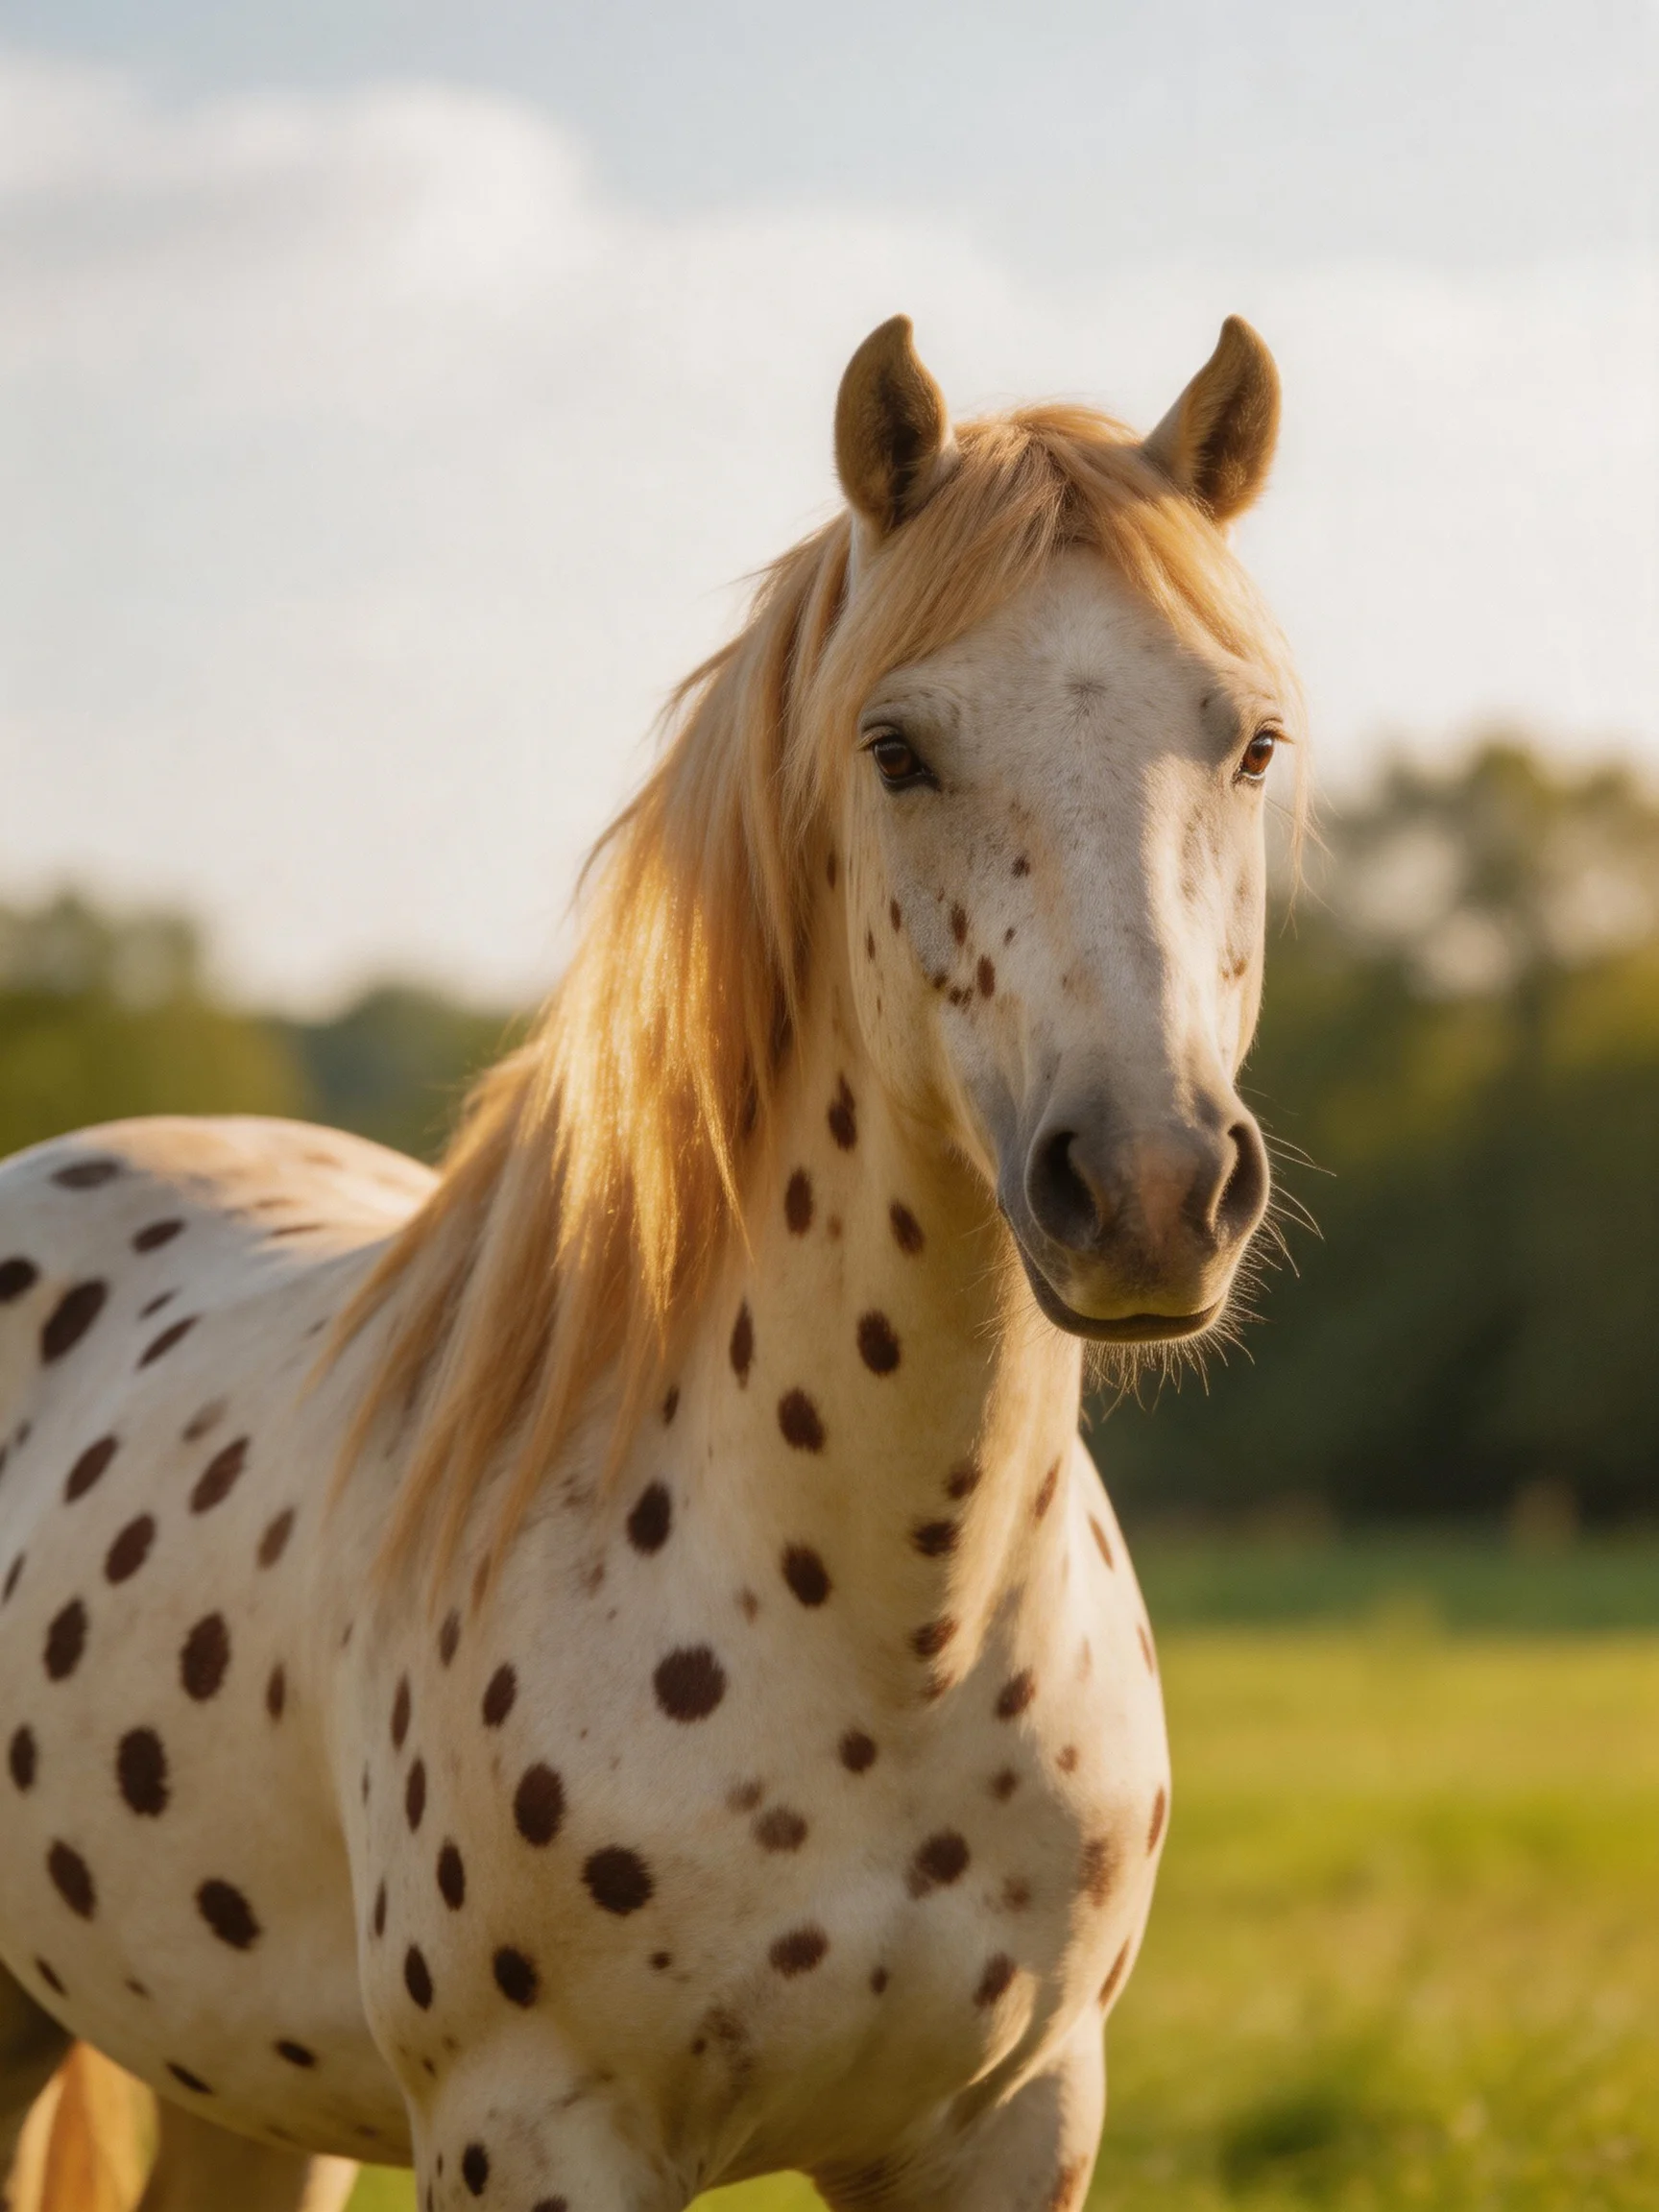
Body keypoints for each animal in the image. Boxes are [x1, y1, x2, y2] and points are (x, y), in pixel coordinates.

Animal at [0, 310, 1299, 2212]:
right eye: (894, 746)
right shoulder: (537, 2127)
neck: (887, 1633)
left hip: (242, 2095)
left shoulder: (1015, 2120)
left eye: (1252, 742)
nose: (1144, 1182)